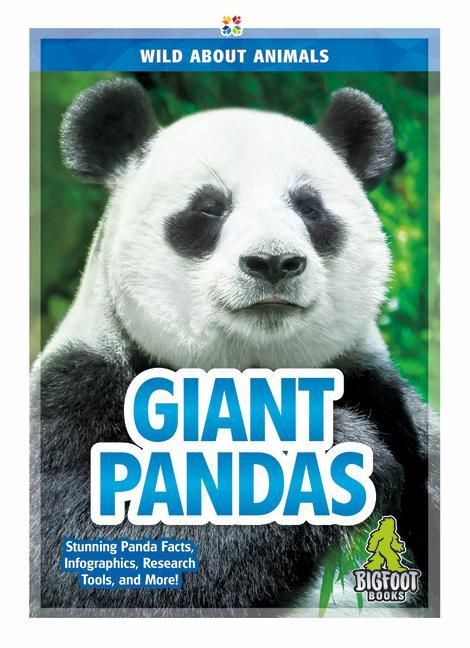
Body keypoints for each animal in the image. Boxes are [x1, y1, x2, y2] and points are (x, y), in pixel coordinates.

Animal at [31, 78, 438, 616]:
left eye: (309, 208)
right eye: (210, 207)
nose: (274, 262)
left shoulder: (382, 396)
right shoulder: (77, 395)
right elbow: (95, 556)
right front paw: (334, 452)